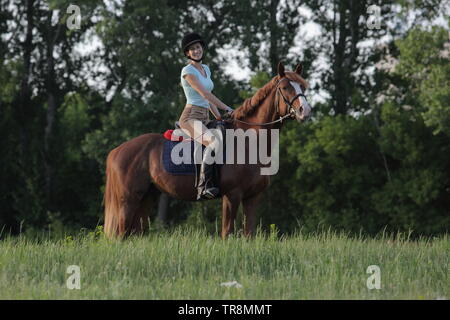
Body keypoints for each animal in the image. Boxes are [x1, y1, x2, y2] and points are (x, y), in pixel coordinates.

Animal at [103, 62, 312, 238]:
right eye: (285, 87)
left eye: (303, 87)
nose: (306, 111)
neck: (248, 142)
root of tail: (117, 151)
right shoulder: (232, 195)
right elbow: (227, 234)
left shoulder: (252, 198)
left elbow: (249, 234)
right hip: (127, 201)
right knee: (120, 235)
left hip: (146, 198)